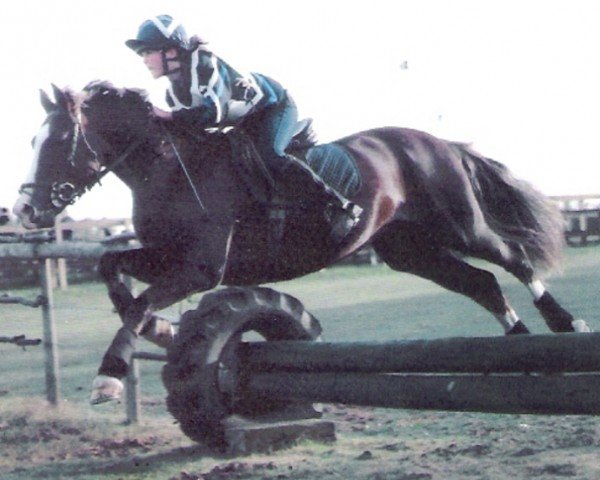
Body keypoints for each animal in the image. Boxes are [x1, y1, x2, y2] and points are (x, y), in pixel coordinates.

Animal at [11, 82, 592, 404]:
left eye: (57, 141)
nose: (25, 211)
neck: (170, 168)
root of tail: (436, 141)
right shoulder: (168, 260)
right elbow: (113, 270)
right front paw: (160, 329)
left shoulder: (201, 269)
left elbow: (136, 303)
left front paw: (110, 376)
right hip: (410, 251)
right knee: (481, 283)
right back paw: (520, 348)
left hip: (460, 225)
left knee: (513, 260)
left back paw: (565, 326)